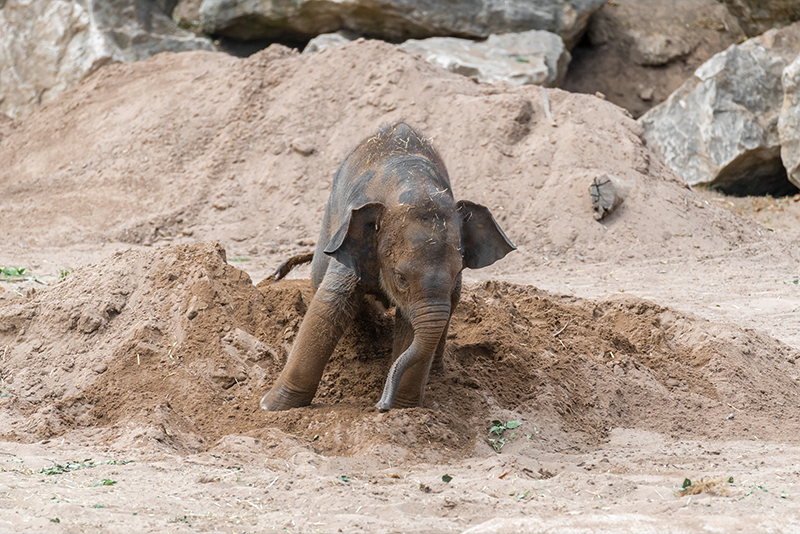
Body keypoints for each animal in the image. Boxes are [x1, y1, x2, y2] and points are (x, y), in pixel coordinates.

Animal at [260, 121, 515, 412]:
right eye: (400, 278)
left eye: (455, 275)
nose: (381, 405)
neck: (412, 185)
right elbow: (329, 304)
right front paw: (271, 407)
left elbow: (411, 323)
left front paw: (404, 409)